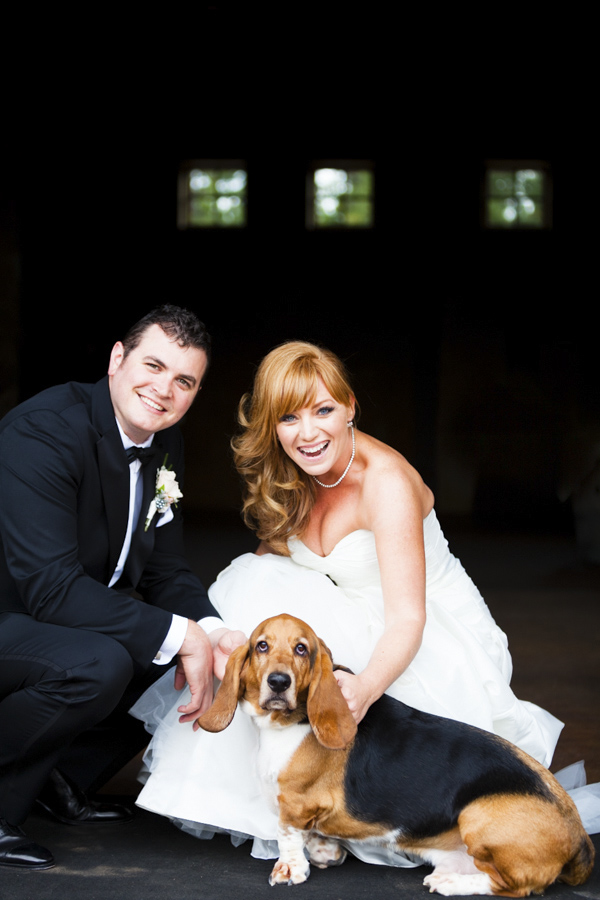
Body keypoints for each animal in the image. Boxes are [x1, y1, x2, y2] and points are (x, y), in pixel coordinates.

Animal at [198, 612, 596, 892]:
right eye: (261, 646)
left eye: (301, 649)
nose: (279, 682)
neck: (287, 724)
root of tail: (579, 838)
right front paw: (325, 850)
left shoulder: (296, 804)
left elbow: (287, 834)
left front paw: (290, 868)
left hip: (478, 814)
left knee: (515, 886)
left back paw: (450, 884)